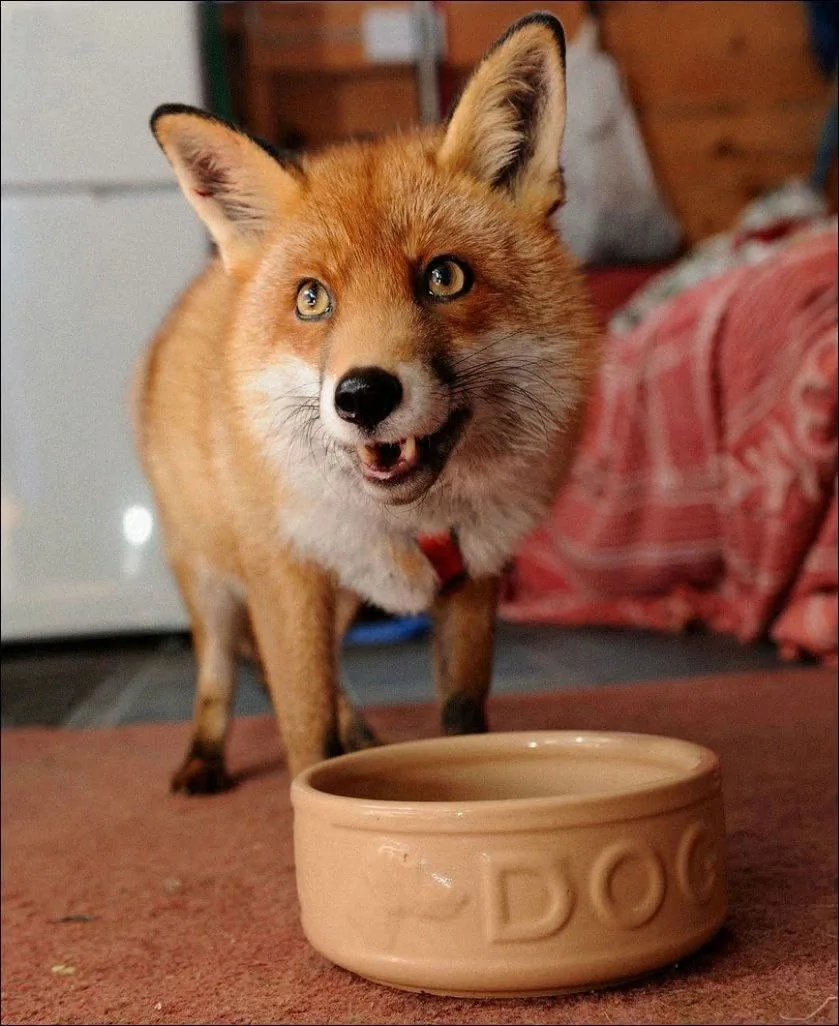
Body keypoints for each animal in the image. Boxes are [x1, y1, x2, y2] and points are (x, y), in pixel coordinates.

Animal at [135, 11, 598, 794]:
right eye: (312, 299)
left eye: (445, 277)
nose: (361, 395)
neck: (416, 523)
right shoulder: (287, 577)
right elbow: (303, 728)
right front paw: (311, 808)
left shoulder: (473, 579)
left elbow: (462, 716)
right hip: (211, 577)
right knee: (221, 670)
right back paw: (204, 757)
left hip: (339, 597)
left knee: (329, 676)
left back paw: (358, 733)